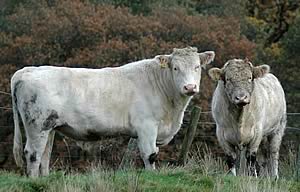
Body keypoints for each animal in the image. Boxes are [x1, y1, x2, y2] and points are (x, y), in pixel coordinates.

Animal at [12, 47, 216, 177]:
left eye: (197, 67)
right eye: (175, 68)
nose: (190, 87)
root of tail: (27, 70)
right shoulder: (147, 126)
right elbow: (150, 154)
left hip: (50, 127)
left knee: (44, 155)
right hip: (37, 126)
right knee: (33, 154)